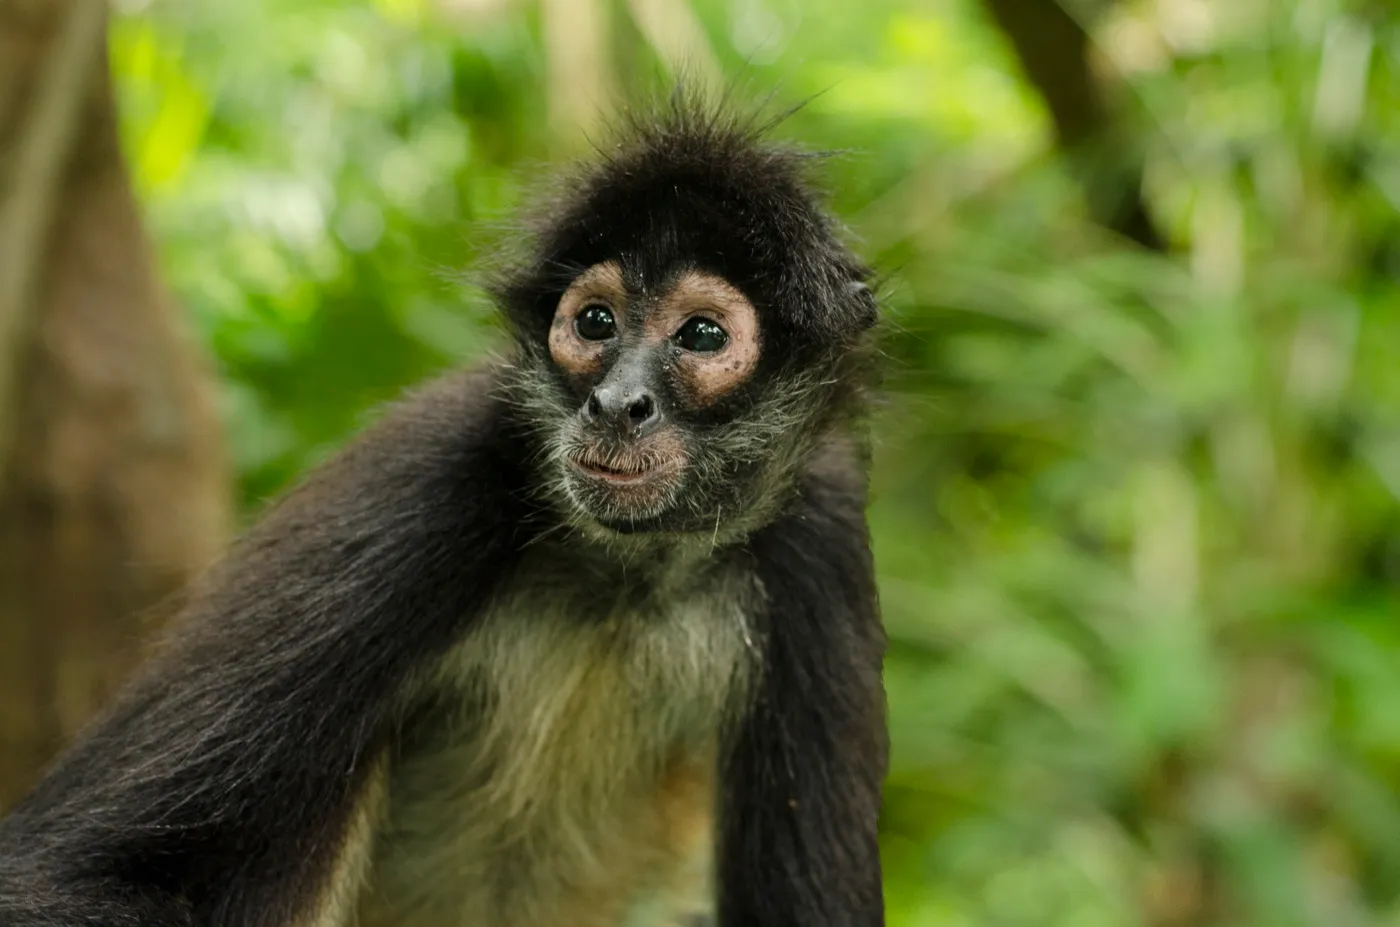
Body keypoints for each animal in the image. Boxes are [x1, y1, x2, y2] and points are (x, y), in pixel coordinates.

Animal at [0, 91, 888, 927]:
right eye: (595, 322)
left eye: (702, 335)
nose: (616, 404)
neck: (624, 582)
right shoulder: (441, 469)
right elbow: (59, 872)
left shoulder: (819, 534)